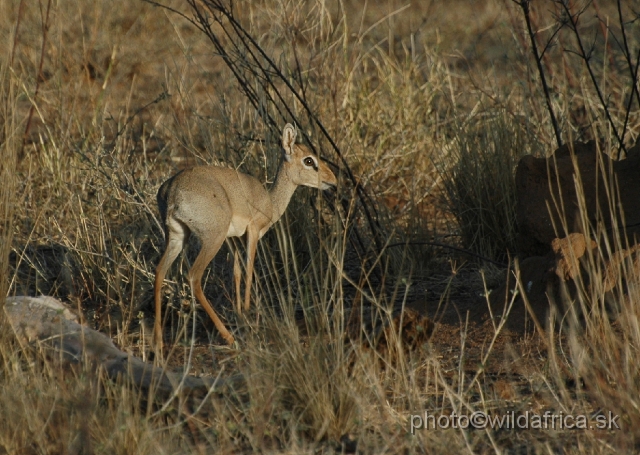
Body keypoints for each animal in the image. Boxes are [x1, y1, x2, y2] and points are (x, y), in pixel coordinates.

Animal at [154, 123, 338, 348]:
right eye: (309, 160)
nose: (333, 180)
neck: (269, 202)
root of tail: (171, 190)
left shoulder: (232, 239)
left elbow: (237, 272)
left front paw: (241, 314)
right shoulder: (253, 232)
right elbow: (250, 270)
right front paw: (249, 314)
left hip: (177, 237)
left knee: (160, 272)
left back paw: (158, 342)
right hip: (211, 239)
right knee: (194, 276)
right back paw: (228, 337)